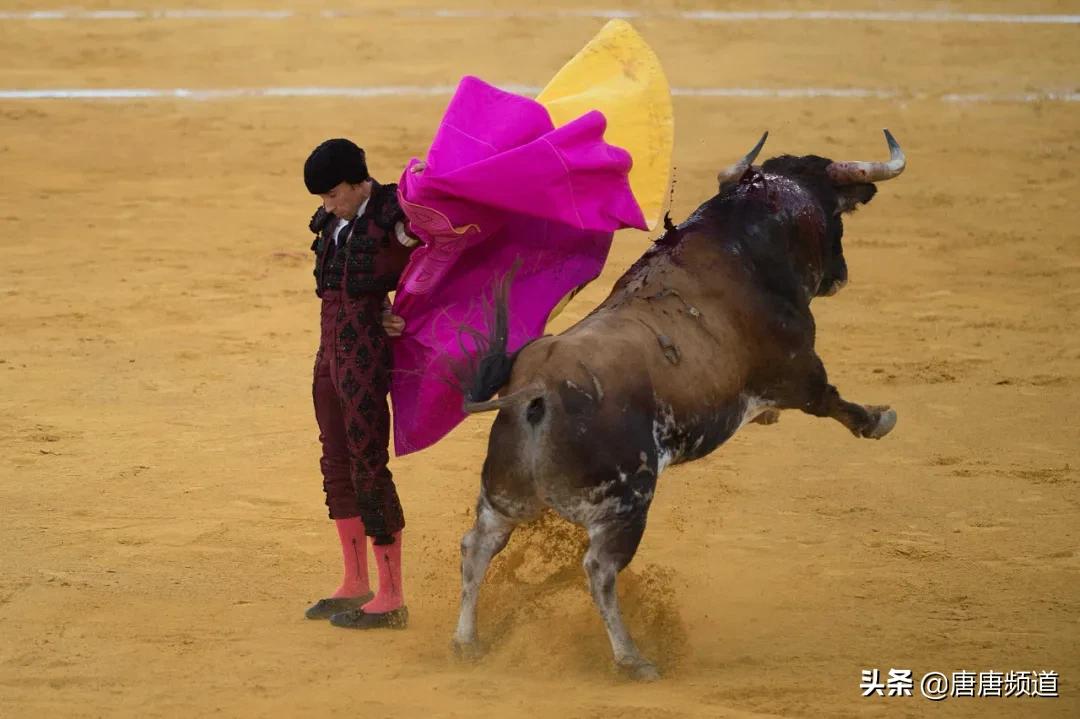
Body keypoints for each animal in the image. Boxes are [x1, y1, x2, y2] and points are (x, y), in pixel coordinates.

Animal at [451, 130, 907, 677]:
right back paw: (633, 660)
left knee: (478, 547)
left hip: (503, 495)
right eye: (835, 212)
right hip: (626, 502)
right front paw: (879, 419)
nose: (839, 275)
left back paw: (468, 642)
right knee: (599, 570)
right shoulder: (799, 368)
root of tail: (537, 388)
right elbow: (833, 401)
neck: (742, 244)